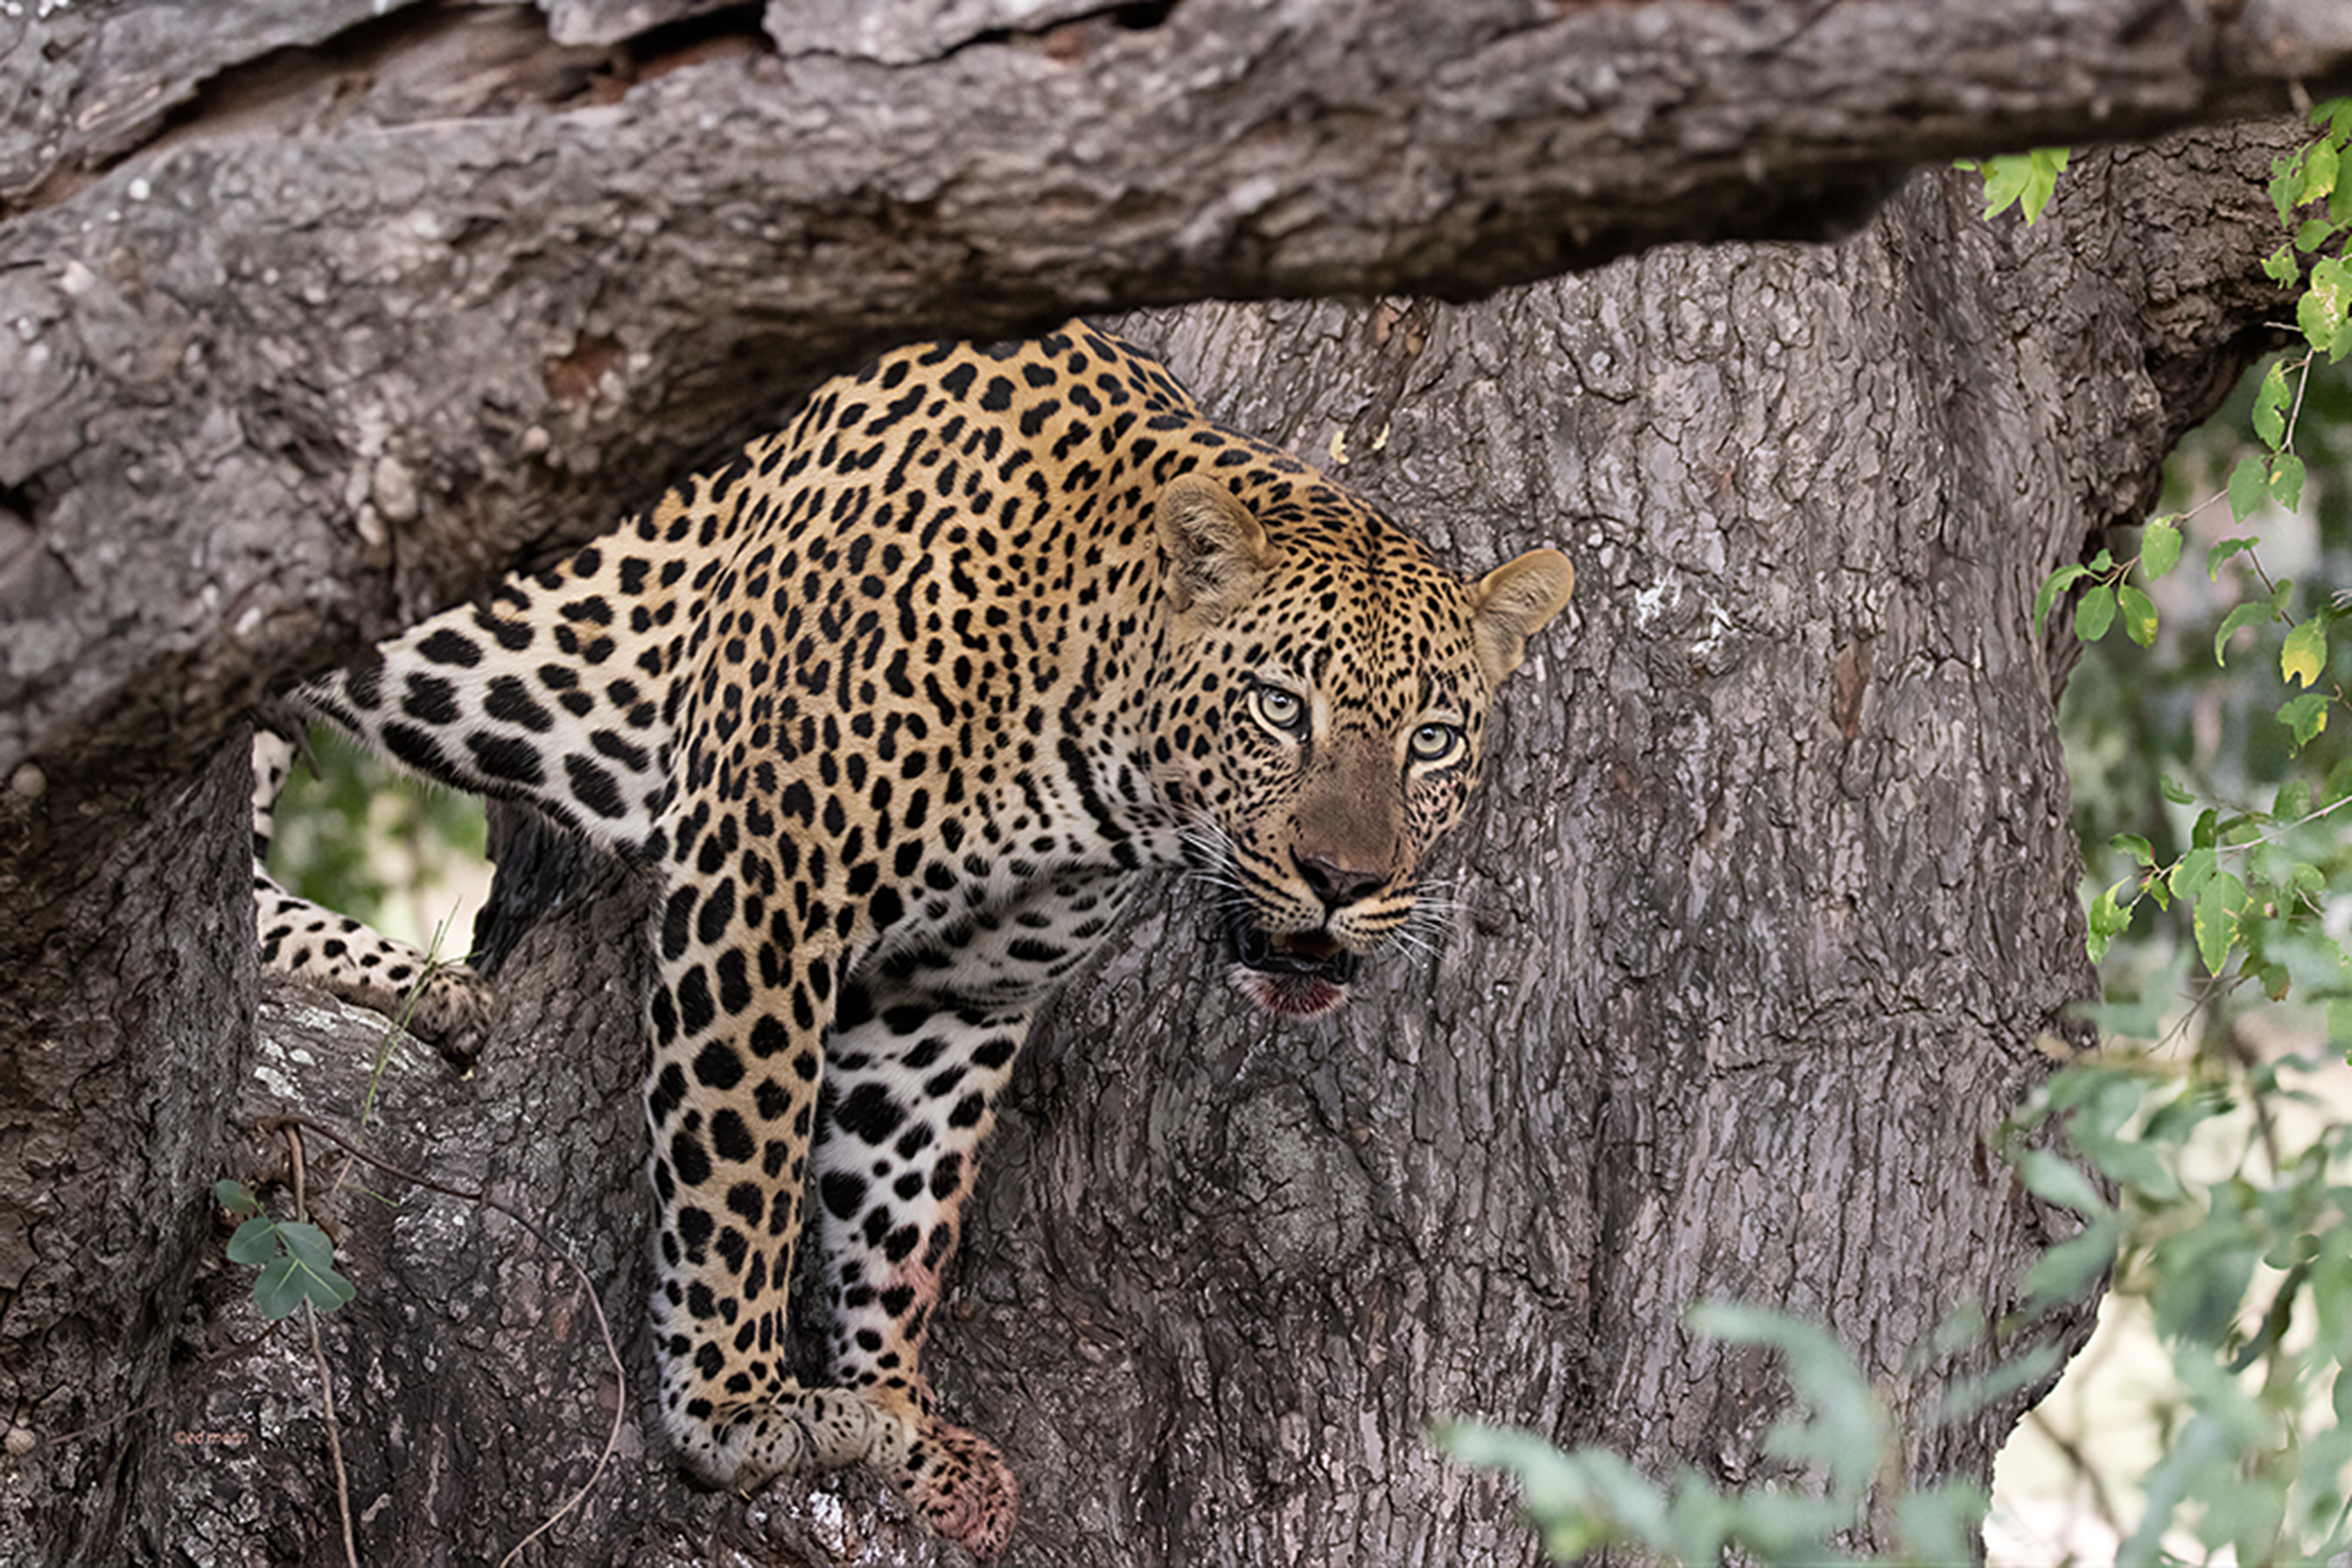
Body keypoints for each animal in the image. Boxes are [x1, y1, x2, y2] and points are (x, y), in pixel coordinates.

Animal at [252, 320, 1574, 1560]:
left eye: (1434, 740)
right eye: (1278, 706)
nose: (1343, 880)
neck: (1095, 744)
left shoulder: (956, 993)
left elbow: (900, 1199)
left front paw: (899, 1415)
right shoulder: (766, 883)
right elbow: (745, 1168)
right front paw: (737, 1411)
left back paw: (423, 983)